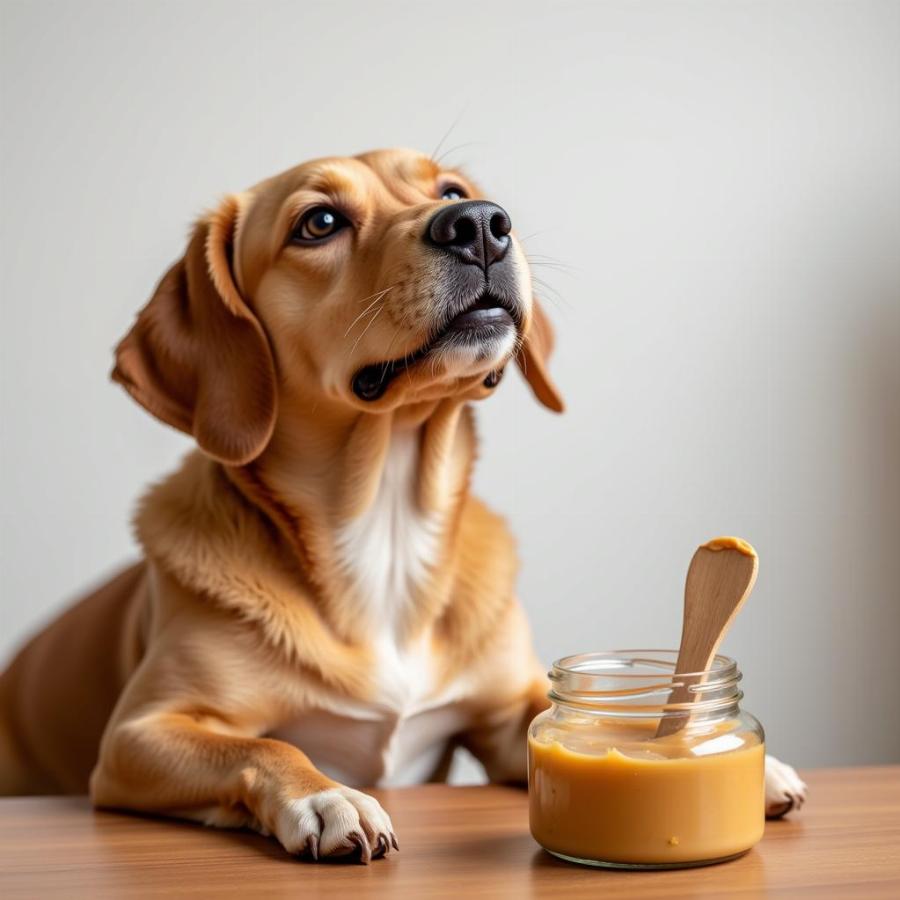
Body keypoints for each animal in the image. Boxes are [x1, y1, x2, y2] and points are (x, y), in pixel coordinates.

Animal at [0, 149, 804, 864]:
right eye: (319, 221)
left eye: (451, 189)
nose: (480, 223)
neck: (384, 525)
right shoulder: (139, 735)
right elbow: (265, 742)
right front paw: (326, 795)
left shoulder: (508, 715)